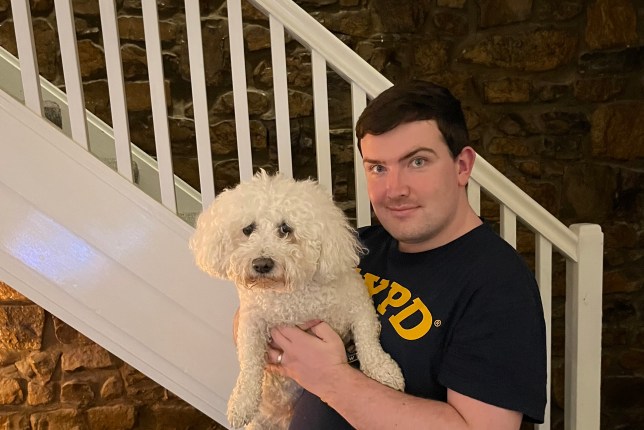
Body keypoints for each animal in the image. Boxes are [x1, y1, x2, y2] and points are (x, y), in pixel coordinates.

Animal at [189, 172, 406, 430]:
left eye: (285, 229)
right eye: (248, 229)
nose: (262, 264)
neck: (290, 297)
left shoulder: (359, 304)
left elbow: (368, 341)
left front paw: (383, 369)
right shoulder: (251, 323)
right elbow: (249, 361)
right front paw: (241, 402)